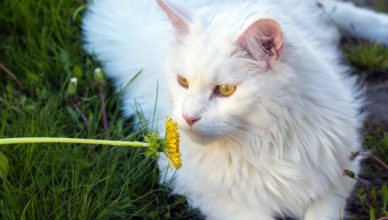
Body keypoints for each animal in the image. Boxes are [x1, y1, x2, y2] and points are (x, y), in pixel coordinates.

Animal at [82, 0, 388, 219]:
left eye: (226, 90)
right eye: (183, 82)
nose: (188, 117)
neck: (266, 139)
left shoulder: (340, 175)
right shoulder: (204, 191)